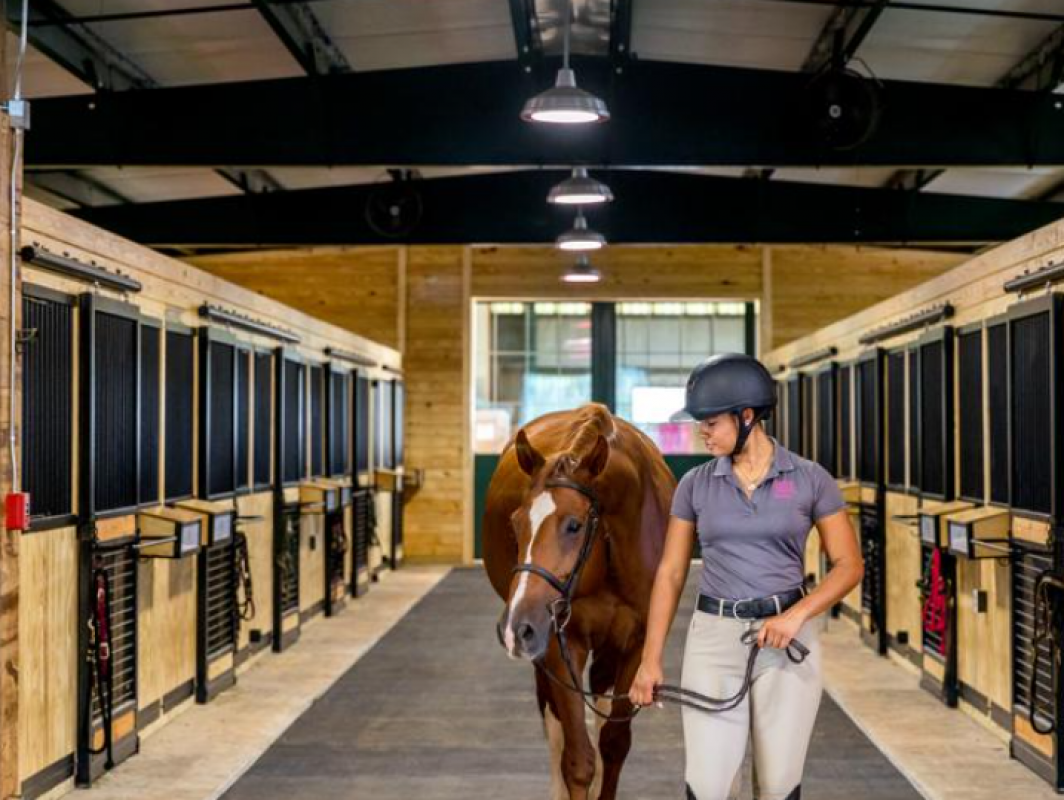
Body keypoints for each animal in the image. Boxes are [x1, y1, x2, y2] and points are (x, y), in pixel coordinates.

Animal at [484, 403, 676, 800]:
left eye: (574, 525)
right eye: (516, 523)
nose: (517, 625)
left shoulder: (638, 644)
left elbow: (614, 742)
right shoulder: (562, 642)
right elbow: (577, 760)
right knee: (554, 724)